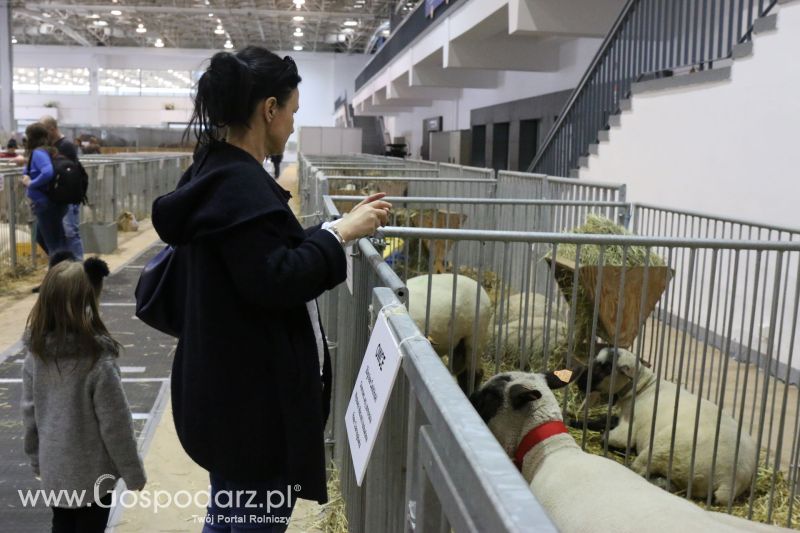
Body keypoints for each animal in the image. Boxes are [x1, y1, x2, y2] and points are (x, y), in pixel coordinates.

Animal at [576, 348, 756, 504]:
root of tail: (731, 481)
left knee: (638, 468)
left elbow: (607, 437)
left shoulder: (627, 429)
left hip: (662, 446)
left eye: (606, 367)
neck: (642, 388)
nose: (579, 381)